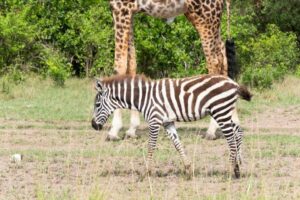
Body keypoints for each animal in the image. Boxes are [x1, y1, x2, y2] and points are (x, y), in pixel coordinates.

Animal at [91, 73, 251, 178]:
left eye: (97, 105)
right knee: (238, 132)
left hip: (220, 112)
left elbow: (151, 146)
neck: (143, 97)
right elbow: (177, 145)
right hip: (224, 112)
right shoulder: (167, 122)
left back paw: (229, 171)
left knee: (231, 141)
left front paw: (146, 172)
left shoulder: (154, 120)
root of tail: (234, 83)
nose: (93, 126)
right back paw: (237, 169)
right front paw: (188, 169)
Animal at [108, 0, 232, 141]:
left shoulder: (120, 7)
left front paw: (113, 131)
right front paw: (132, 130)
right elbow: (132, 64)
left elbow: (119, 66)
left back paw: (211, 131)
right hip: (210, 19)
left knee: (215, 62)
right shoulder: (130, 11)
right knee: (223, 57)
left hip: (204, 17)